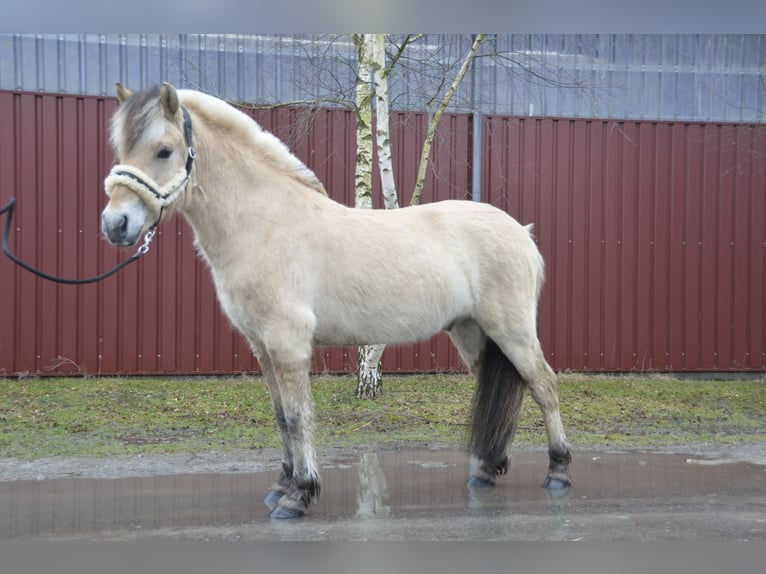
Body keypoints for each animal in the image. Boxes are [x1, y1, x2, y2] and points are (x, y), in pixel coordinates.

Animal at [101, 82, 572, 519]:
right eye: (121, 147)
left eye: (164, 151)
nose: (115, 224)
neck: (263, 223)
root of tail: (521, 232)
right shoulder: (261, 346)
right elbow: (280, 416)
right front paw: (282, 484)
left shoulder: (287, 341)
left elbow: (297, 416)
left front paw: (298, 495)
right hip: (472, 332)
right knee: (513, 385)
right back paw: (487, 470)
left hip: (511, 329)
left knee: (543, 385)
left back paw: (559, 471)